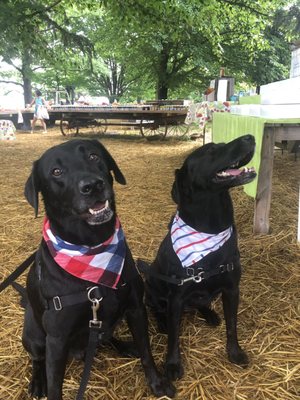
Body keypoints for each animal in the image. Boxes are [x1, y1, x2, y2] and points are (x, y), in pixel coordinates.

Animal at [22, 139, 175, 398]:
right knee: (37, 359)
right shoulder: (57, 339)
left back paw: (124, 345)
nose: (92, 185)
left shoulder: (136, 308)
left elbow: (147, 352)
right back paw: (37, 381)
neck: (92, 247)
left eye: (94, 156)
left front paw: (157, 383)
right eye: (56, 171)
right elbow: (54, 387)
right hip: (34, 335)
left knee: (106, 336)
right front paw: (46, 384)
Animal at [138, 134, 255, 382]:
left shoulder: (232, 289)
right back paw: (162, 323)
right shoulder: (176, 297)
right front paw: (172, 365)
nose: (250, 137)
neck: (211, 228)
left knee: (202, 303)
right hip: (152, 288)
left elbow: (232, 325)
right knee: (157, 310)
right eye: (211, 150)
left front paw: (234, 352)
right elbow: (174, 337)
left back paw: (210, 314)